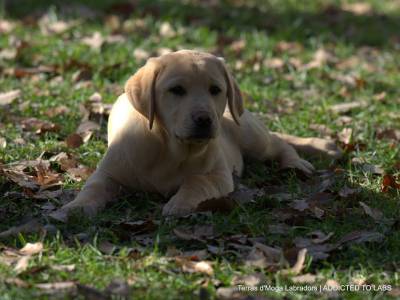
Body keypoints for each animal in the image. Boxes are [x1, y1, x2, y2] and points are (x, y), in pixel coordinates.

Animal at [51, 48, 340, 219]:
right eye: (177, 90)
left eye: (215, 90)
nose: (204, 119)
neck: (168, 147)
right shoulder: (109, 172)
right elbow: (94, 186)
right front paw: (77, 206)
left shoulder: (218, 175)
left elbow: (195, 181)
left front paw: (179, 204)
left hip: (249, 134)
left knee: (279, 142)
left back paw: (299, 160)